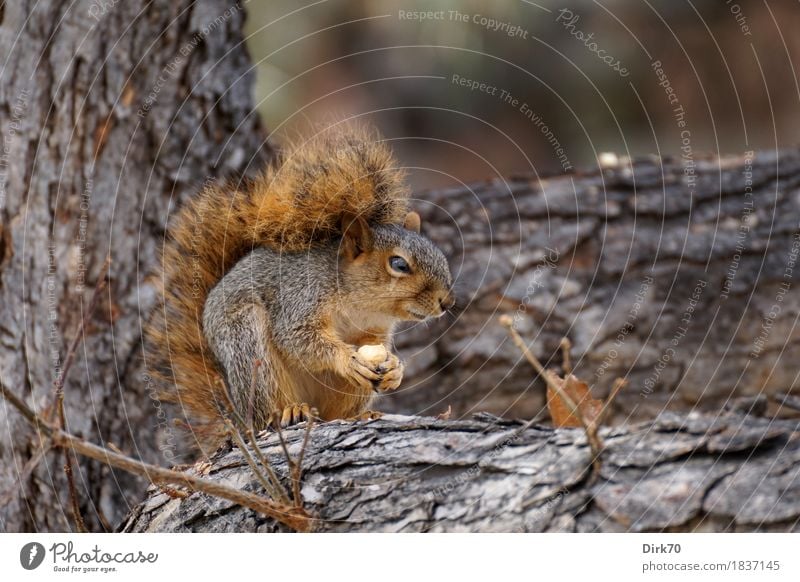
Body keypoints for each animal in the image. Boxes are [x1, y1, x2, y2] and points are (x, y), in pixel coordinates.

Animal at [146, 124, 454, 456]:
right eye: (398, 264)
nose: (447, 302)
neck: (359, 303)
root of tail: (236, 417)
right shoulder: (299, 298)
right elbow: (297, 338)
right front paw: (348, 359)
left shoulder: (374, 331)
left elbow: (375, 346)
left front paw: (396, 368)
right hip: (248, 344)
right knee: (266, 410)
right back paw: (290, 410)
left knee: (334, 413)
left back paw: (360, 415)